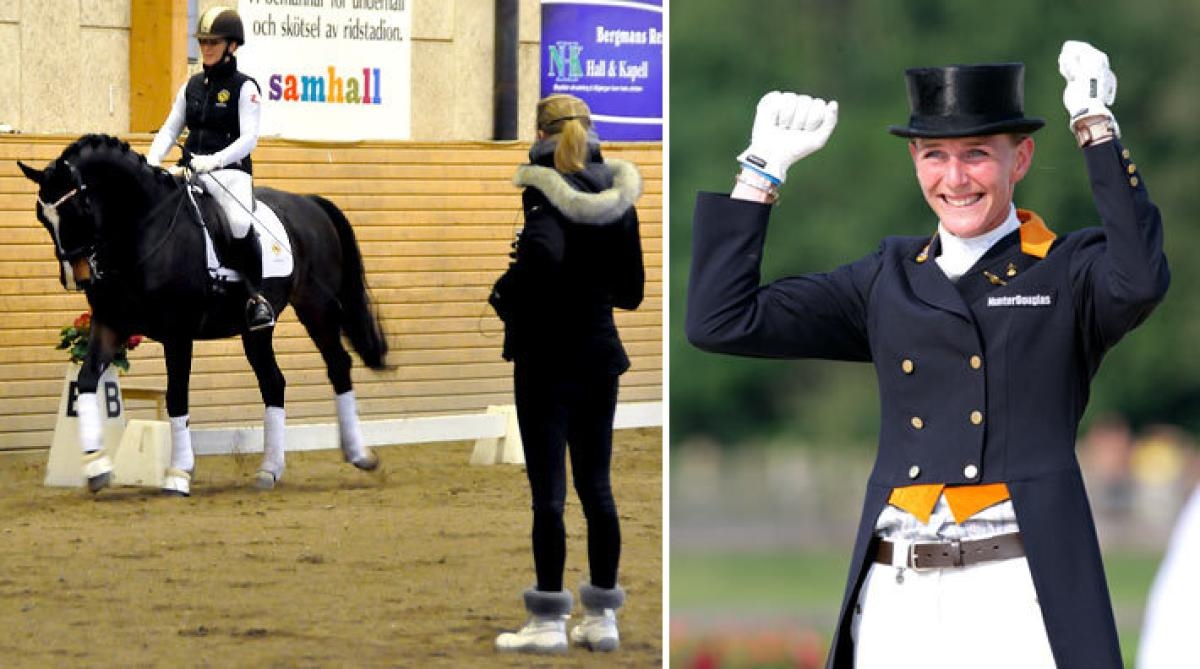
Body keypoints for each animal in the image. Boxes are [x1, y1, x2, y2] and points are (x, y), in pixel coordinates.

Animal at [18, 133, 388, 496]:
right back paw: (269, 470)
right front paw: (97, 467)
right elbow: (86, 381)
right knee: (273, 382)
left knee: (337, 364)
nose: (76, 278)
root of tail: (310, 203)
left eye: (78, 207)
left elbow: (177, 396)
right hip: (257, 329)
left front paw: (179, 474)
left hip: (317, 307)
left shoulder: (177, 333)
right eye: (42, 217)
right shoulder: (110, 324)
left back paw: (358, 454)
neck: (142, 230)